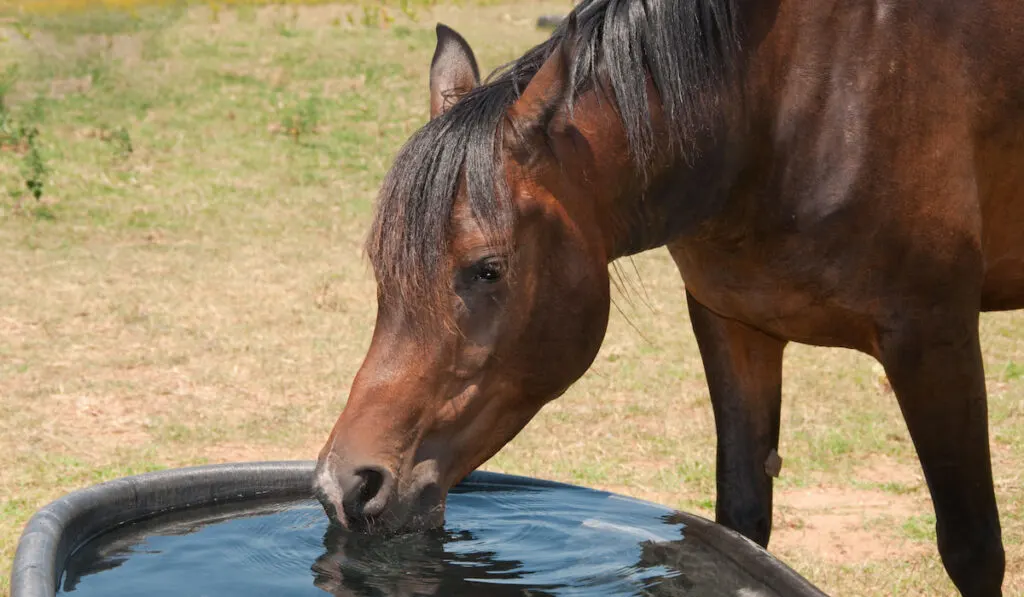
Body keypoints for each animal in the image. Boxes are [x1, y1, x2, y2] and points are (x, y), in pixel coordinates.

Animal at [313, 2, 1024, 593]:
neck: (788, 106)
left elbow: (973, 549)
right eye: (381, 267)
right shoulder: (733, 324)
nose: (343, 486)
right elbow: (740, 526)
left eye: (486, 270)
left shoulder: (933, 337)